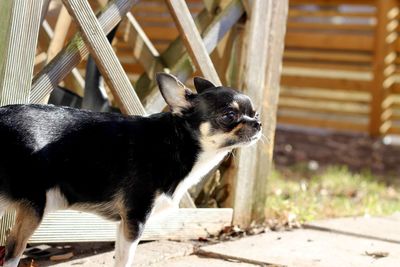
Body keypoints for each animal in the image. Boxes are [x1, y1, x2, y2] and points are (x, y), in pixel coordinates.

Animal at [0, 72, 262, 266]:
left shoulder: (123, 224)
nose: (258, 123)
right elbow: (126, 260)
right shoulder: (135, 220)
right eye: (229, 115)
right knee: (12, 255)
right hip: (34, 209)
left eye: (255, 113)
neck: (177, 143)